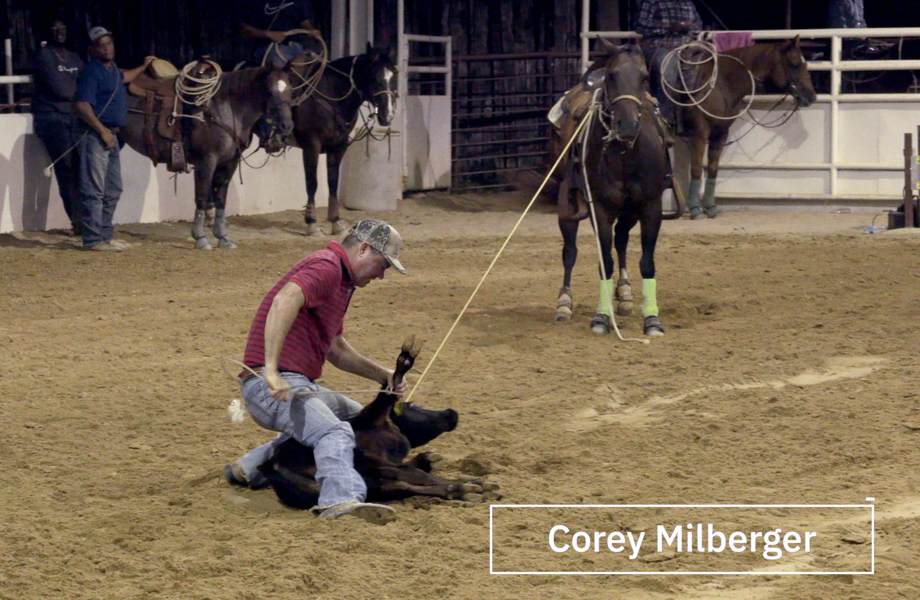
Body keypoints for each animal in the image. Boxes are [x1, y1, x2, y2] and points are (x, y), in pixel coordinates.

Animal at [122, 66, 292, 251]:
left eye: (290, 91)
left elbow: (220, 199)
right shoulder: (206, 161)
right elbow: (202, 197)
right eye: (270, 92)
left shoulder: (229, 163)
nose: (286, 128)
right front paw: (200, 237)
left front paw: (223, 237)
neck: (224, 110)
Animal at [255, 336, 500, 508]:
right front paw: (405, 359)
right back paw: (469, 487)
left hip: (373, 483)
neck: (391, 429)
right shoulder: (373, 415)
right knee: (408, 476)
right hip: (366, 464)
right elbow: (387, 392)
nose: (451, 413)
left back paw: (467, 488)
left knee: (403, 483)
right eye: (413, 406)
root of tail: (274, 466)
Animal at [290, 44, 398, 237]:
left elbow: (333, 181)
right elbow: (312, 183)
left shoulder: (338, 147)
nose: (388, 114)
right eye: (372, 74)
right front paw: (311, 223)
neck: (328, 94)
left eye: (394, 73)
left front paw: (336, 221)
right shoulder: (311, 146)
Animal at [548, 43, 672, 338]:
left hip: (629, 212)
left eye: (644, 78)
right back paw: (564, 303)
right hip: (567, 205)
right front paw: (601, 317)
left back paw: (625, 293)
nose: (626, 126)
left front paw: (652, 319)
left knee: (622, 239)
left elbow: (646, 262)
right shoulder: (601, 209)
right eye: (613, 76)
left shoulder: (650, 208)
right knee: (570, 252)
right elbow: (604, 261)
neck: (624, 154)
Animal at [672, 36, 816, 218]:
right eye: (794, 63)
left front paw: (711, 207)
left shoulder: (720, 133)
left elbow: (713, 169)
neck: (719, 83)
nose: (812, 96)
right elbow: (696, 169)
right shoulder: (700, 132)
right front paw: (695, 209)